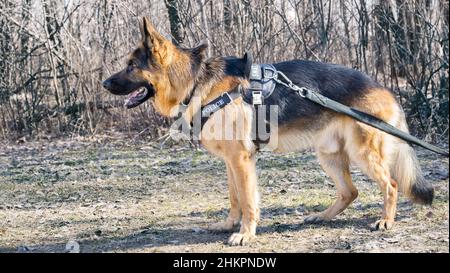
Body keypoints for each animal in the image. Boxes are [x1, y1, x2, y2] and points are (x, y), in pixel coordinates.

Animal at [103, 18, 434, 245]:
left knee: (391, 184)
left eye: (131, 66)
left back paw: (385, 221)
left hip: (362, 153)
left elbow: (248, 200)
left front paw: (244, 235)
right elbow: (234, 197)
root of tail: (385, 89)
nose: (104, 84)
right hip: (328, 155)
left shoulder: (241, 160)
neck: (196, 82)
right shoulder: (231, 162)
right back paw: (321, 217)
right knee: (350, 191)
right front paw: (229, 225)